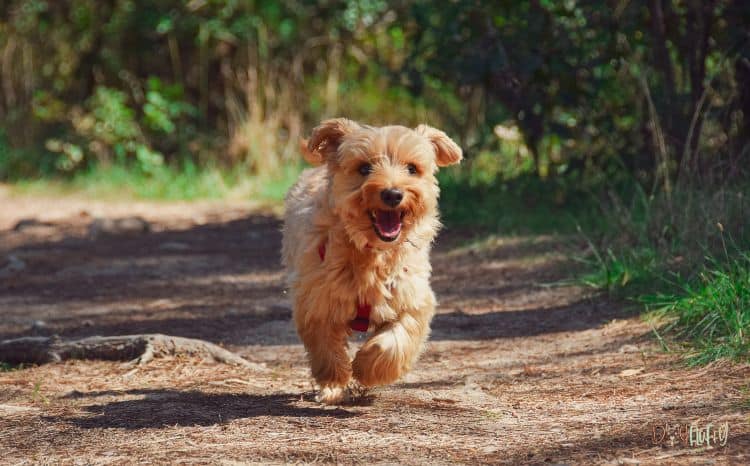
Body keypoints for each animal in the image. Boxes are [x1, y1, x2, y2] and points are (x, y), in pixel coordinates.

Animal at [282, 117, 462, 404]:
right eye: (364, 168)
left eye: (412, 168)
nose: (393, 194)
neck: (372, 253)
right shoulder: (316, 299)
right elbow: (325, 346)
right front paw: (335, 379)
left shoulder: (412, 298)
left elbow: (396, 340)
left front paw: (367, 368)